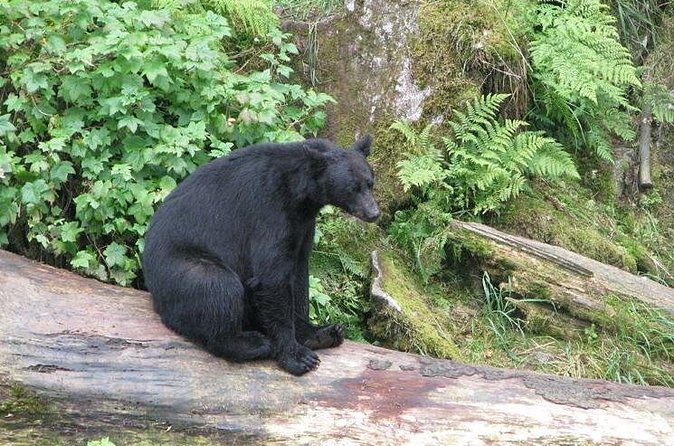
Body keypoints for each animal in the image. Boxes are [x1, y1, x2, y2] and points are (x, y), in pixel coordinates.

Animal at [142, 135, 379, 375]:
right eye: (352, 188)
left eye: (370, 183)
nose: (374, 213)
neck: (298, 194)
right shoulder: (269, 213)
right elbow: (271, 277)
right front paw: (298, 357)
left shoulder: (303, 225)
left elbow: (300, 275)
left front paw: (316, 333)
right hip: (184, 269)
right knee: (219, 288)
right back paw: (254, 343)